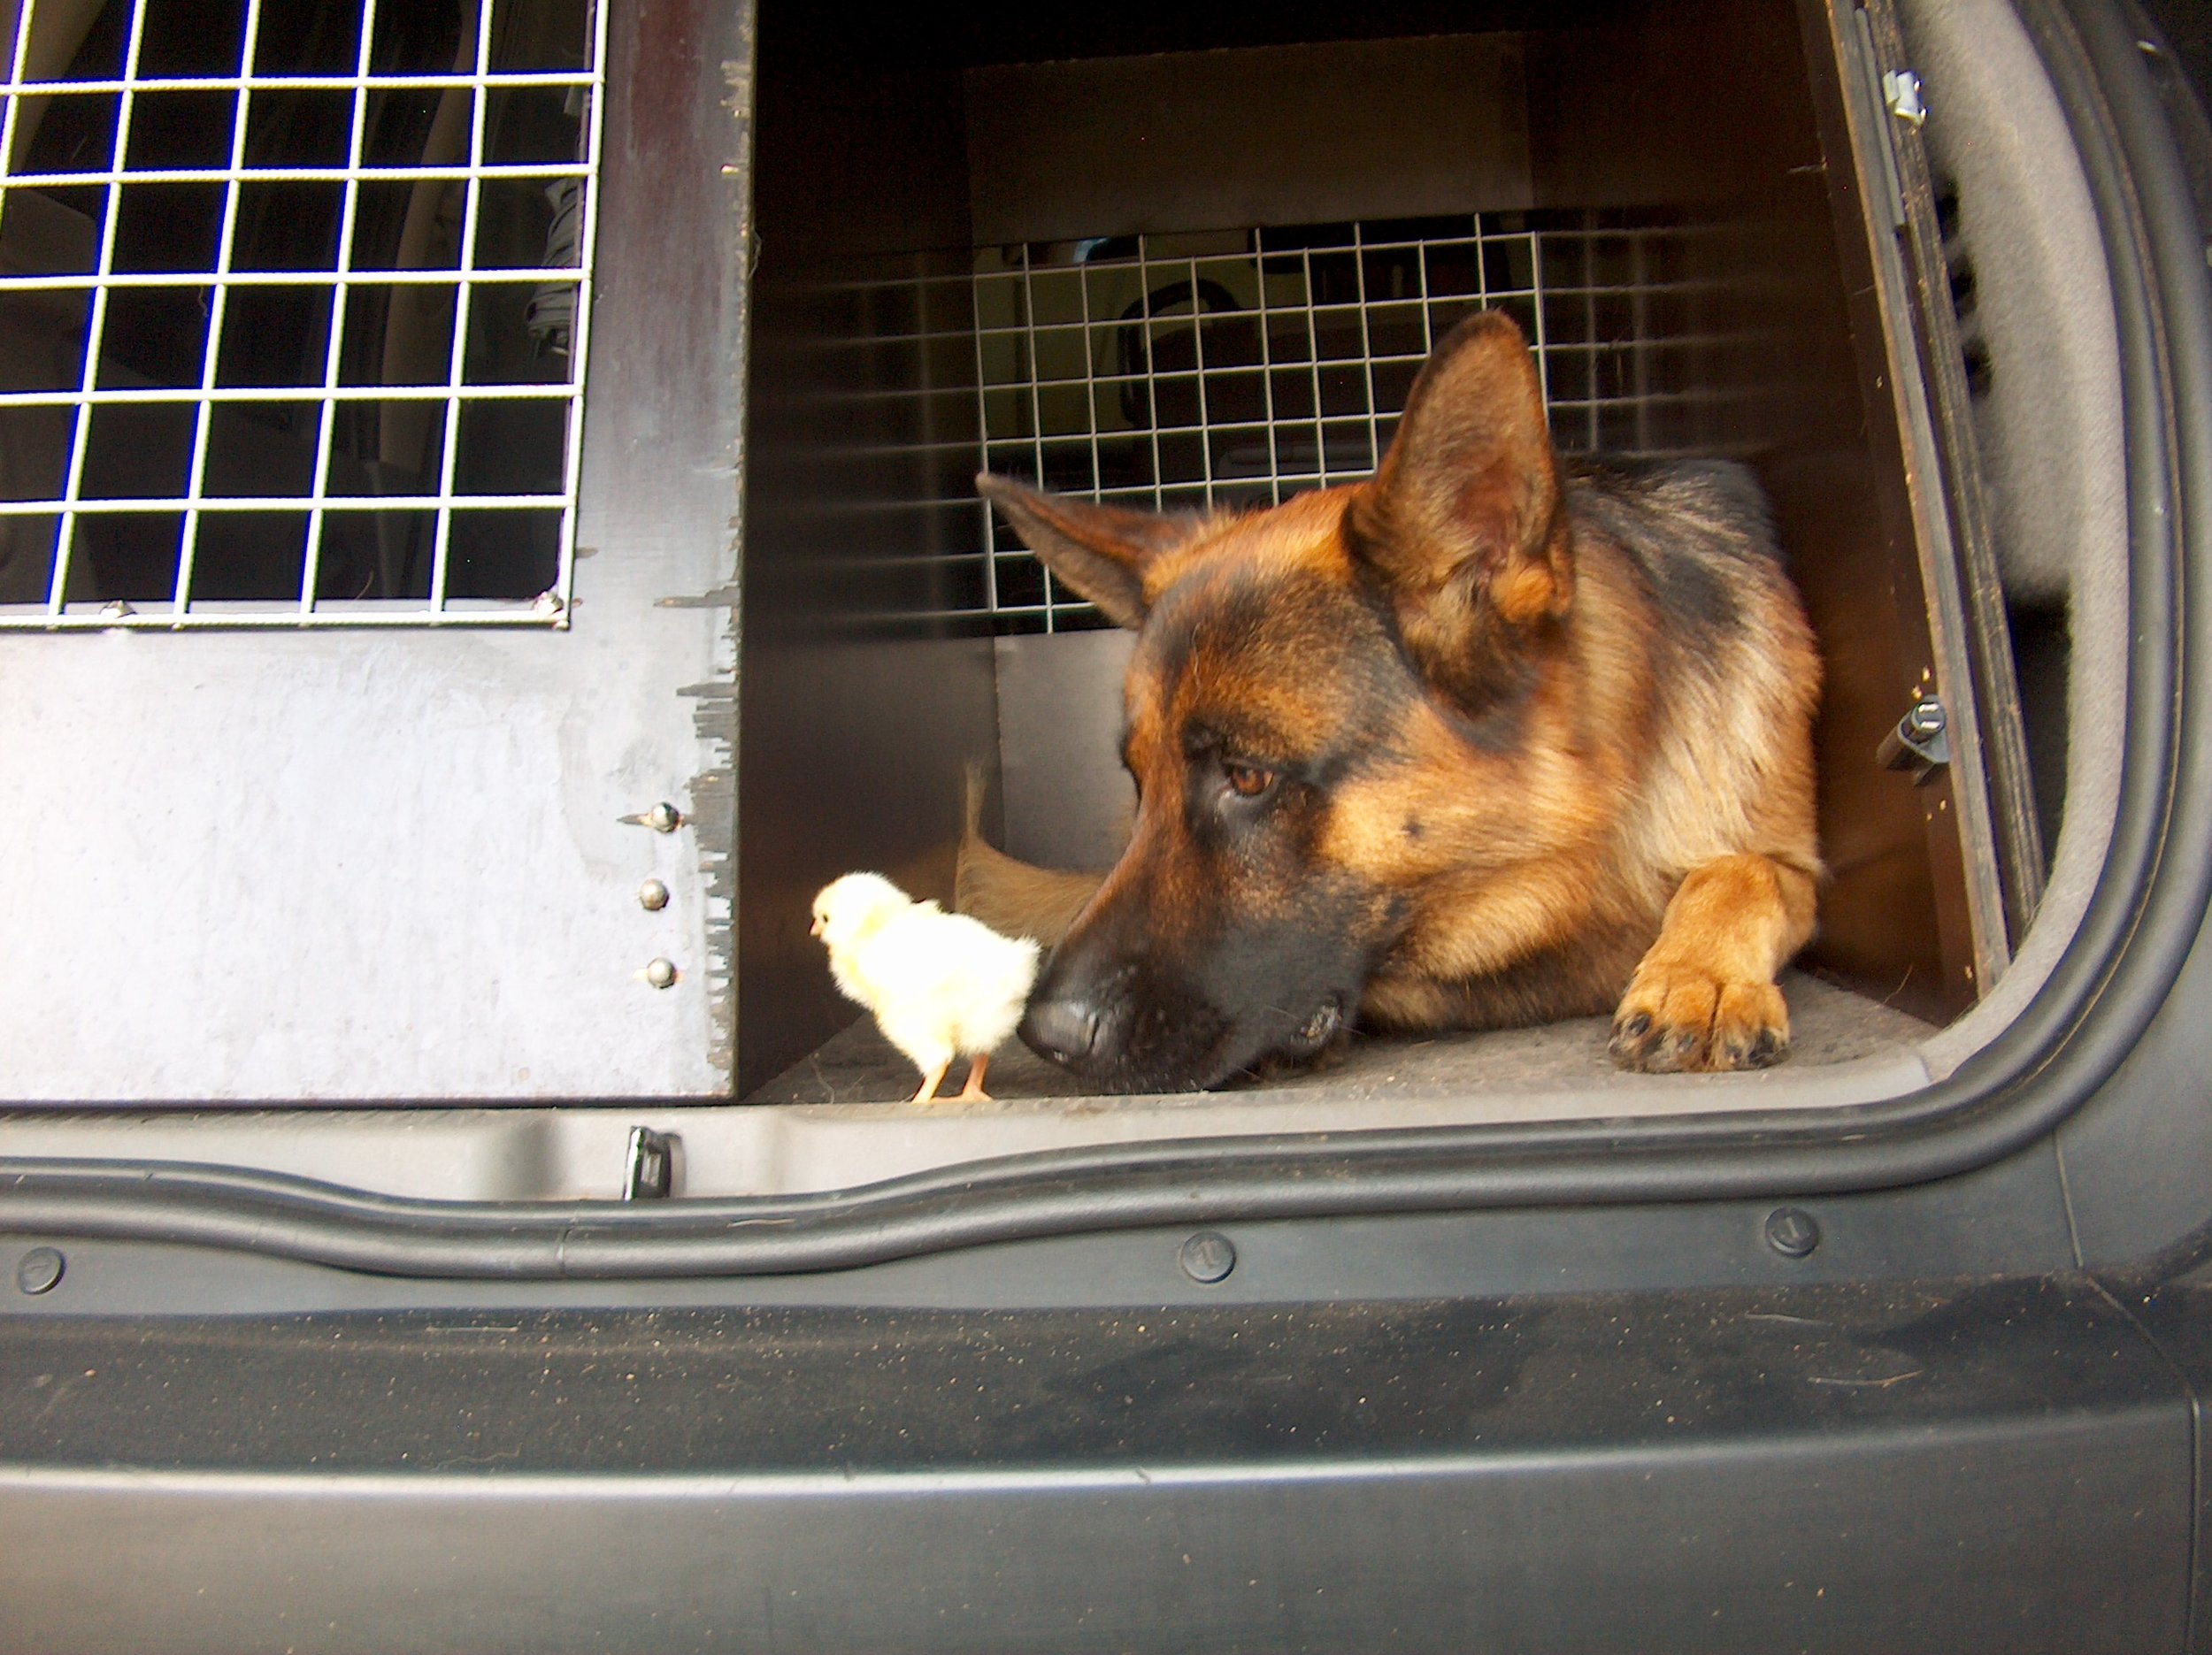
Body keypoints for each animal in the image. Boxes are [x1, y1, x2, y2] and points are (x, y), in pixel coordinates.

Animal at [964, 307, 1814, 1097]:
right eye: (1140, 782)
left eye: (1248, 777)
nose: (1045, 1034)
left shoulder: (1791, 858)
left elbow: (1746, 871)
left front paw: (1699, 972)